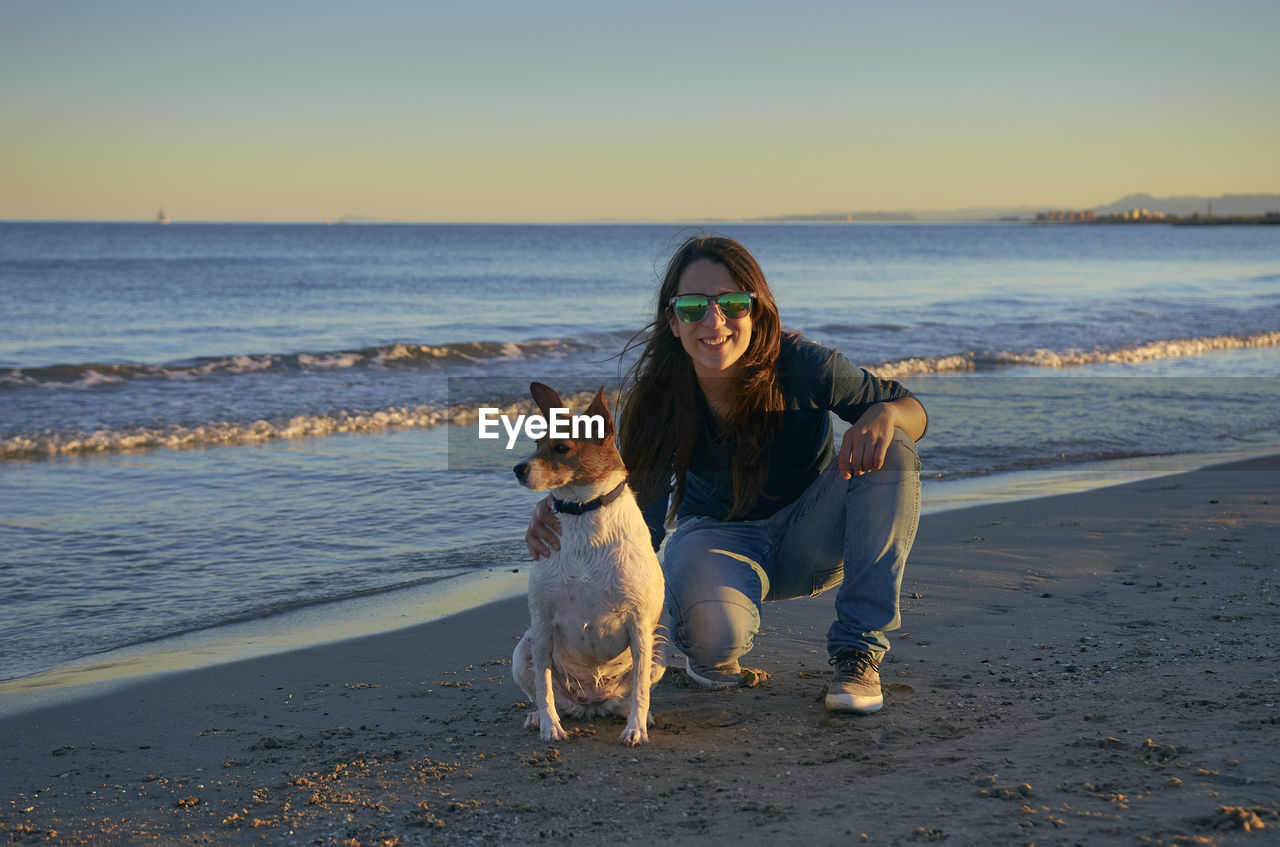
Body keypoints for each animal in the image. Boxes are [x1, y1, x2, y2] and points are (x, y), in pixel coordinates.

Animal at [512, 381, 665, 747]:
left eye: (562, 448)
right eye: (536, 443)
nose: (518, 468)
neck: (583, 511)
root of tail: (593, 704)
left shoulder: (640, 625)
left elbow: (640, 691)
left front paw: (635, 729)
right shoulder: (542, 626)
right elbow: (544, 687)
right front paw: (550, 726)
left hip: (657, 651)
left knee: (633, 693)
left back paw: (637, 716)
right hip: (523, 650)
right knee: (550, 695)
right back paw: (541, 716)